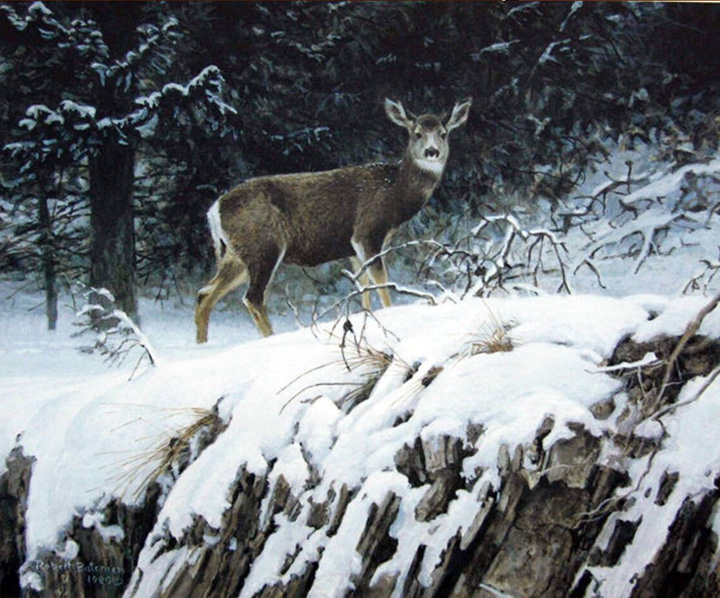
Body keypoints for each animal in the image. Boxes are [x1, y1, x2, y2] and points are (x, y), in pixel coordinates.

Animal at [195, 97, 472, 342]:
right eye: (417, 133)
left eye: (443, 133)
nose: (432, 151)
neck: (395, 193)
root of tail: (214, 210)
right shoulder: (367, 232)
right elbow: (381, 281)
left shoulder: (352, 248)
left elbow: (362, 285)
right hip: (264, 245)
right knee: (251, 297)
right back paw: (271, 340)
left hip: (235, 254)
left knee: (204, 294)